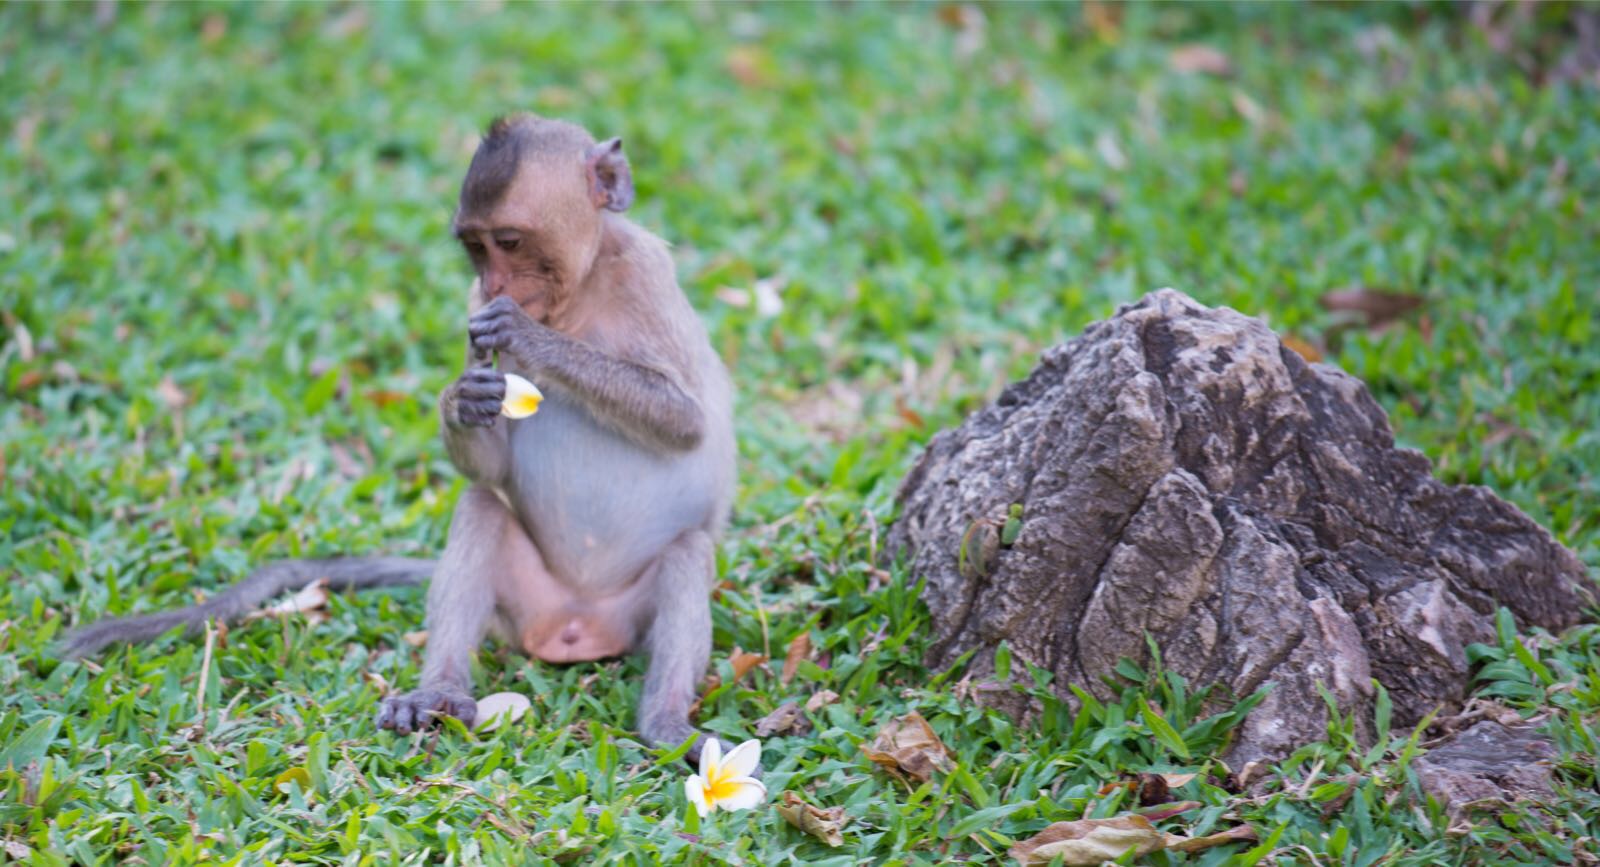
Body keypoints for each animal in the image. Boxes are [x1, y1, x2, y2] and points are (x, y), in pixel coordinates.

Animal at [59, 113, 736, 761]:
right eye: (475, 248)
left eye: (510, 242)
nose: (498, 288)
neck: (578, 295)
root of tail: (573, 629)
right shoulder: (471, 306)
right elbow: (487, 471)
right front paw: (461, 399)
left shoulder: (643, 273)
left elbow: (684, 420)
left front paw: (527, 335)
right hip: (521, 605)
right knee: (482, 508)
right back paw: (438, 693)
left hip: (627, 613)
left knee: (686, 552)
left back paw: (664, 723)